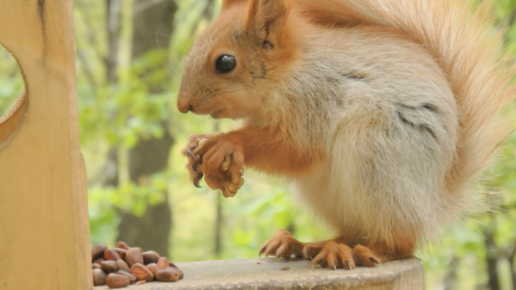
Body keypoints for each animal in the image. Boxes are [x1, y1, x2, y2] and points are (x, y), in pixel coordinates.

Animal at [175, 0, 512, 268]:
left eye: (225, 62)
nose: (182, 105)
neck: (289, 72)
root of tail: (436, 201)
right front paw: (195, 148)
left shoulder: (315, 100)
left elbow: (295, 149)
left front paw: (226, 142)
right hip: (330, 194)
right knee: (354, 230)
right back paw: (307, 244)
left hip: (376, 157)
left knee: (400, 242)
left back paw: (365, 252)